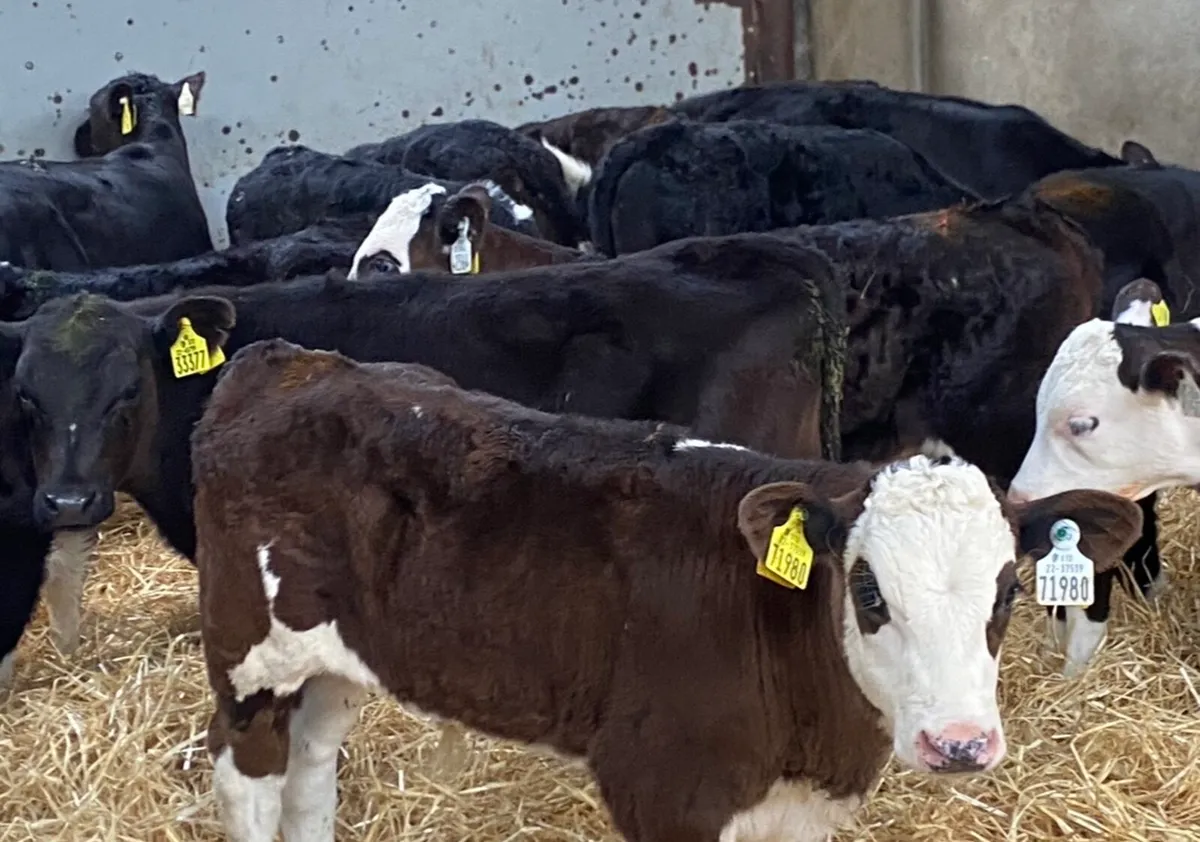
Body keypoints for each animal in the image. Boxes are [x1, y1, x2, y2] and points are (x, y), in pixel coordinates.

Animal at [192, 338, 1144, 842]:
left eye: (1006, 594)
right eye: (869, 592)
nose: (960, 744)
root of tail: (289, 360)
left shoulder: (801, 810)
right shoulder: (660, 786)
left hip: (332, 663)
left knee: (312, 769)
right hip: (248, 658)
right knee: (248, 775)